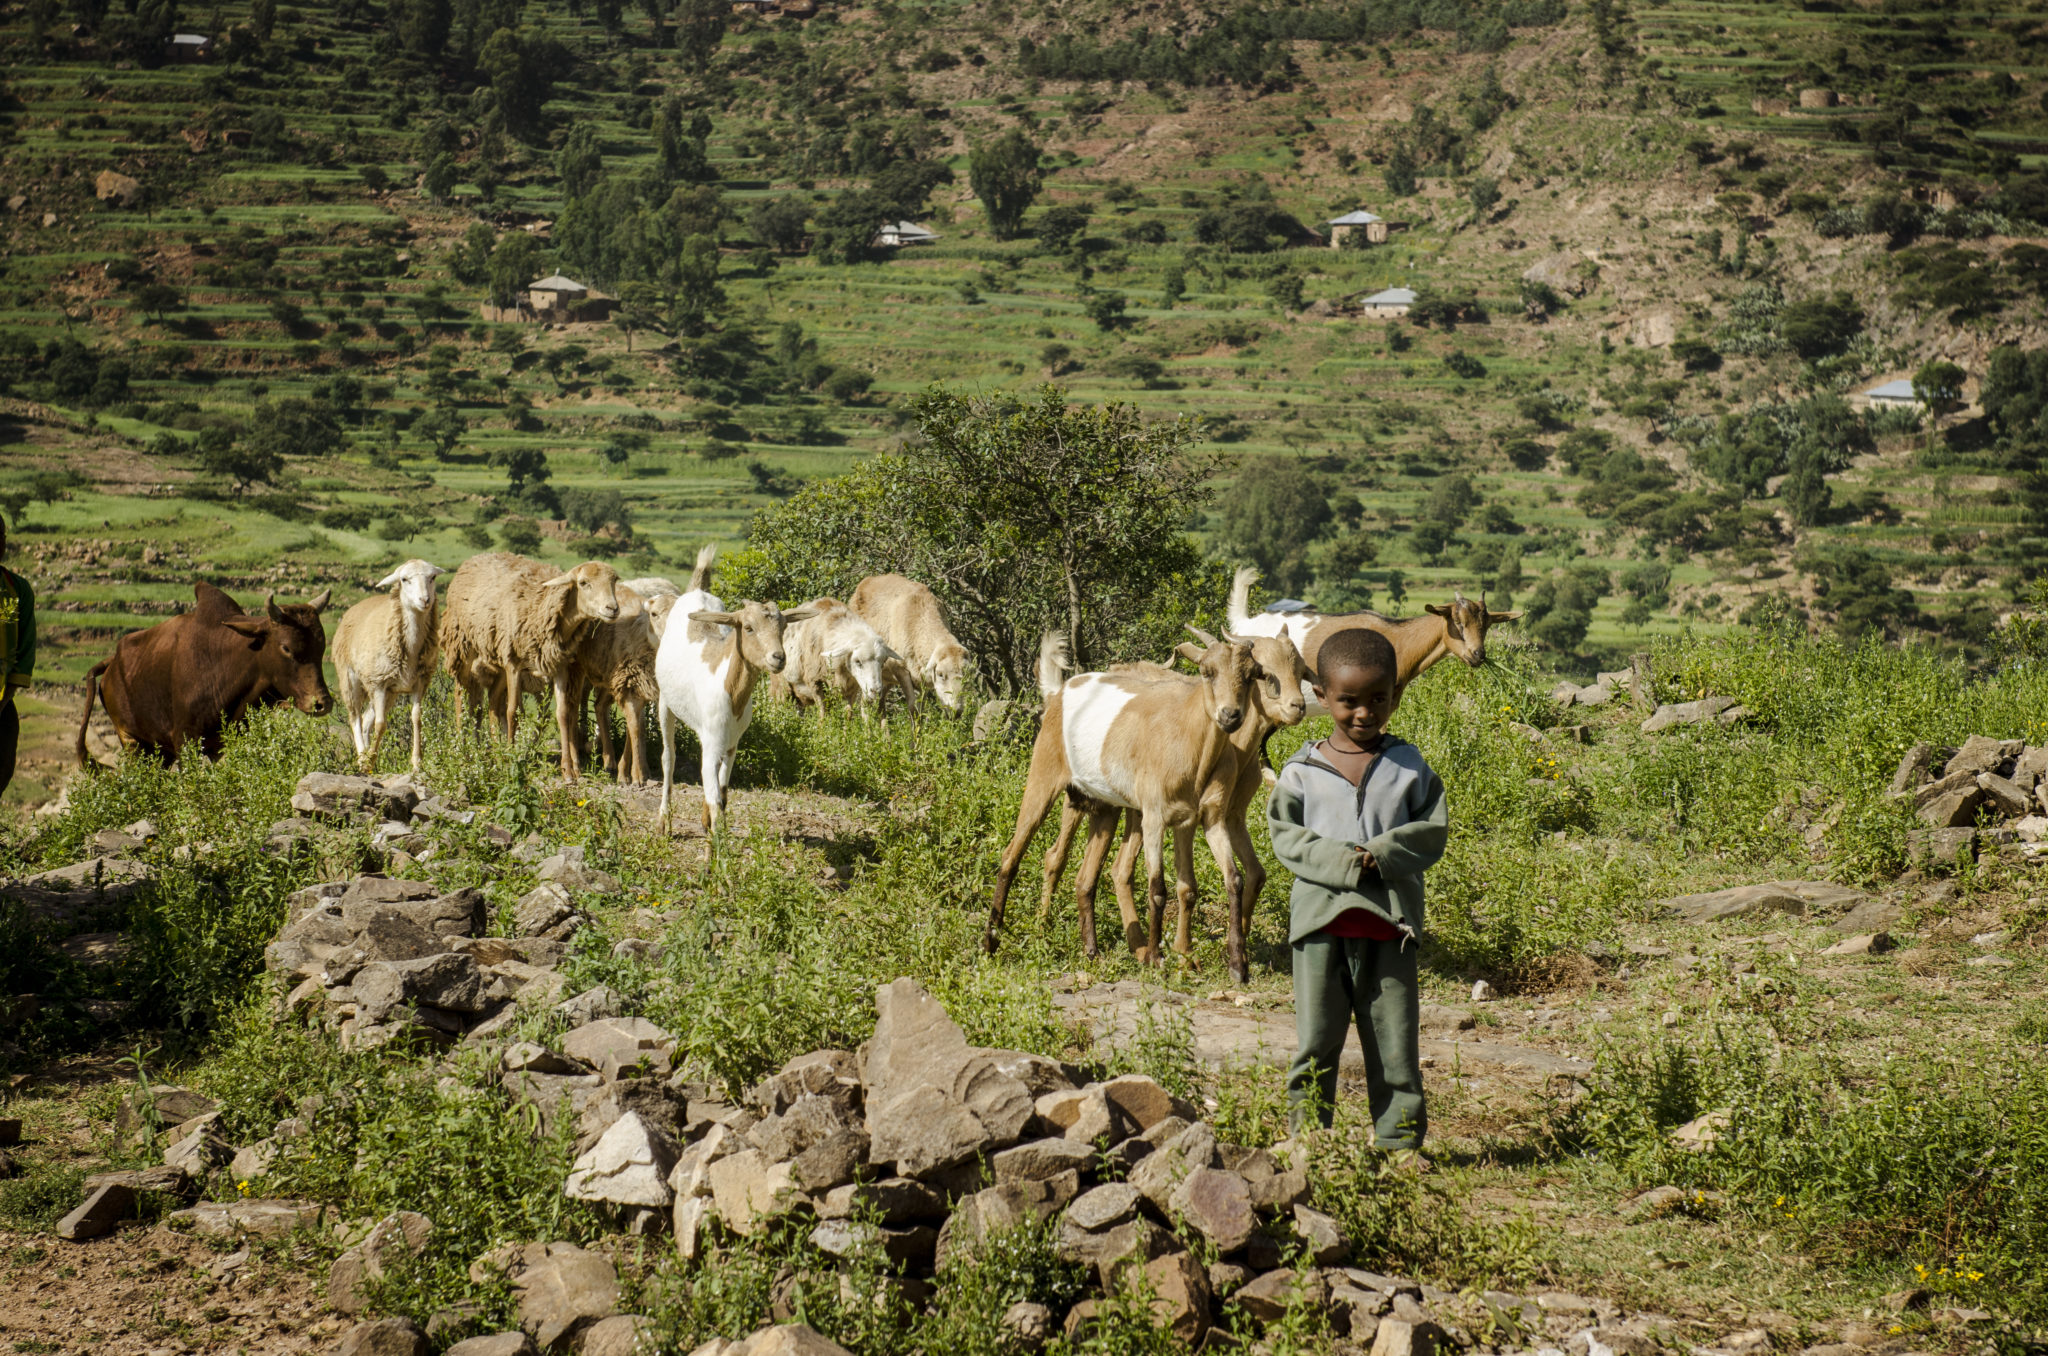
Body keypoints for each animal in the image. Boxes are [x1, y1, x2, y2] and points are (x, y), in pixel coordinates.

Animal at [76, 585, 331, 770]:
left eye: (322, 646)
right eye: (286, 648)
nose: (322, 703)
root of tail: (111, 662)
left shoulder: (218, 747)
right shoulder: (185, 742)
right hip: (132, 742)